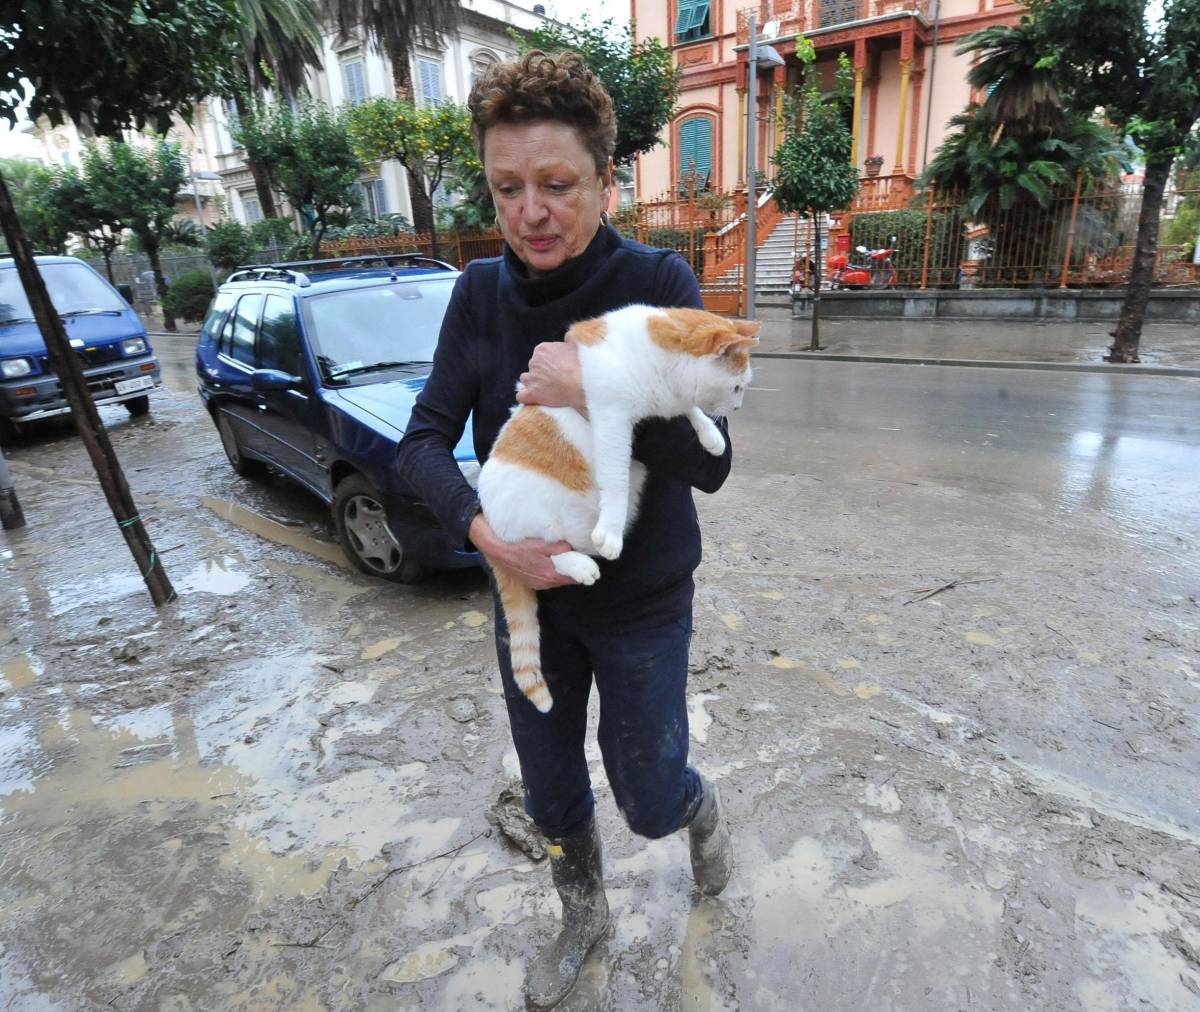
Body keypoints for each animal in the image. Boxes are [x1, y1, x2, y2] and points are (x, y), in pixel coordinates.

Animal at [472, 307, 753, 710]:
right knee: (541, 552)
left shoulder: (668, 401)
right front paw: (611, 528)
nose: (738, 407)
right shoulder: (611, 420)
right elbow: (616, 478)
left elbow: (690, 409)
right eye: (736, 388)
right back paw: (582, 560)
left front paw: (712, 437)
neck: (657, 360)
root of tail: (490, 520)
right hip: (528, 525)